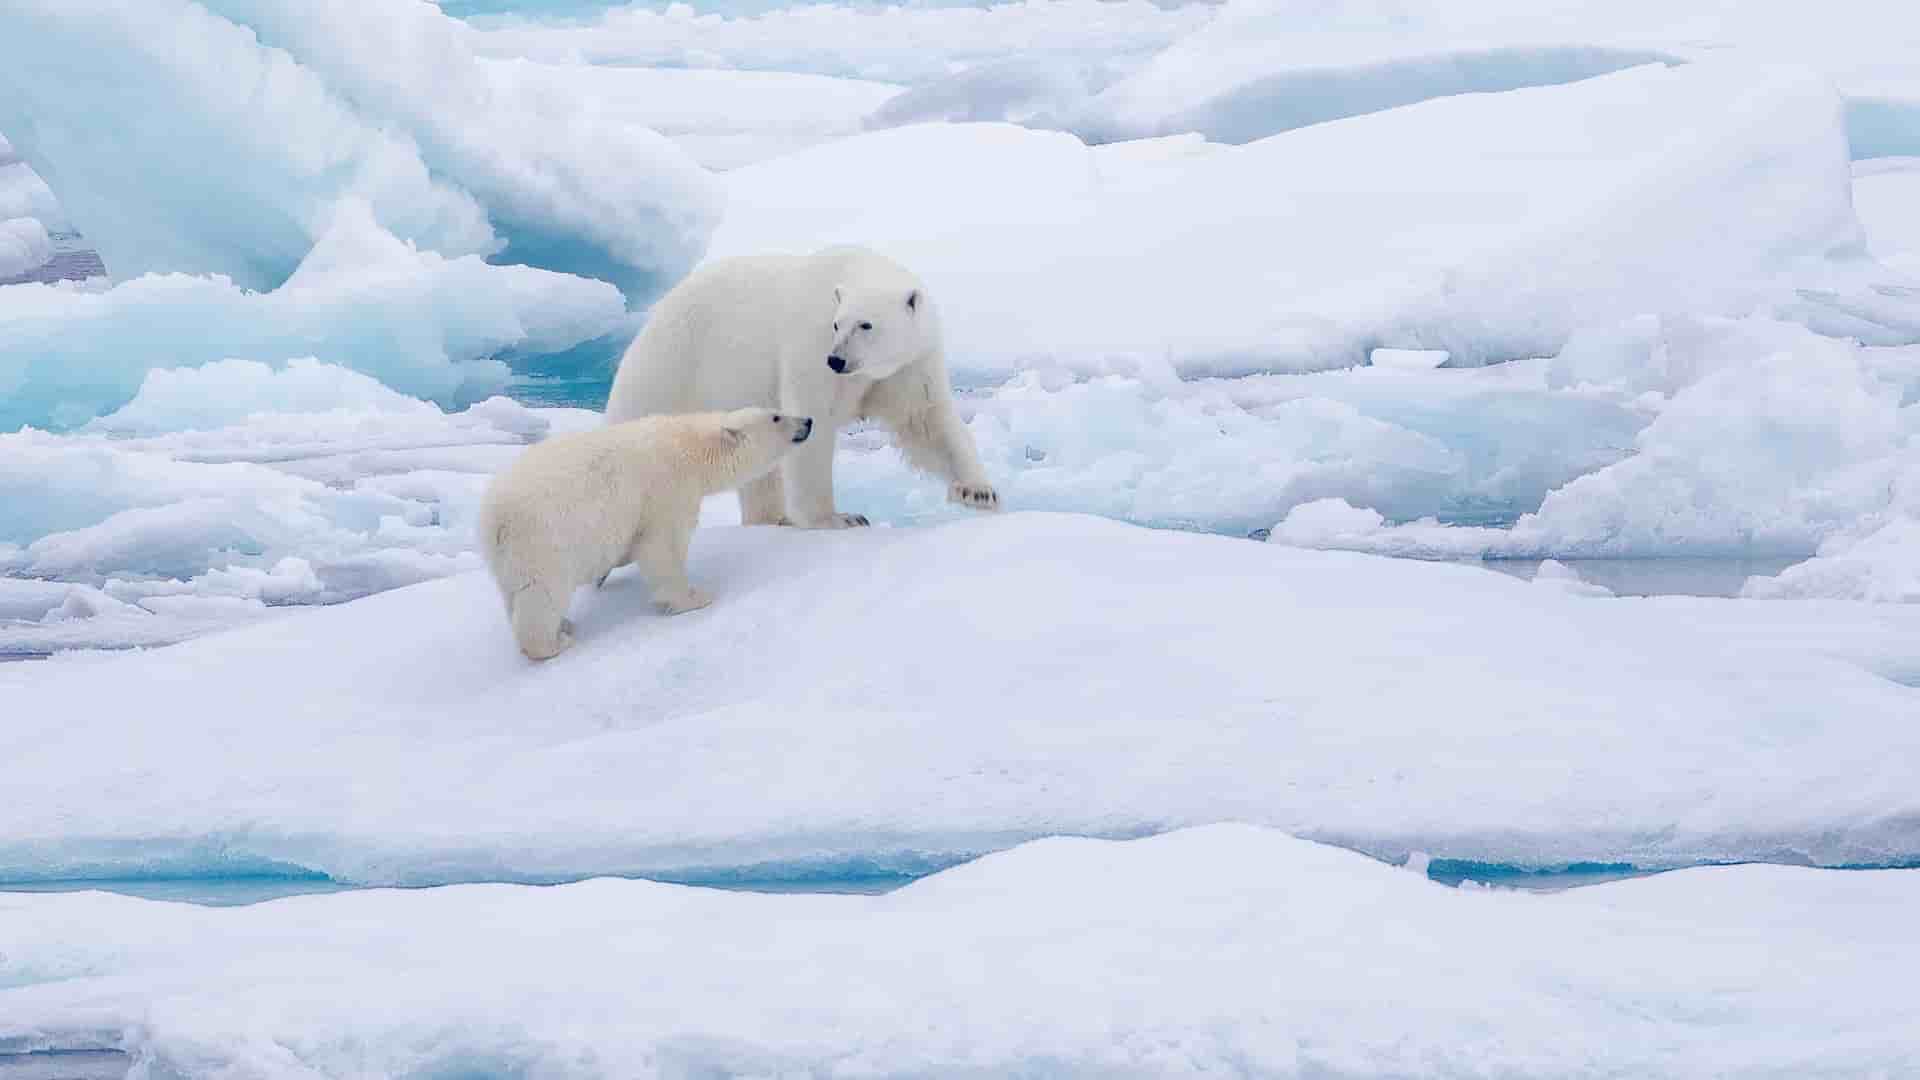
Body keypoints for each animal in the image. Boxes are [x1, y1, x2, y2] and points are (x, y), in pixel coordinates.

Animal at [477, 407, 814, 660]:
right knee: (541, 591)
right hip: (543, 538)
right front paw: (694, 597)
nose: (808, 421)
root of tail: (493, 517)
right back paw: (553, 643)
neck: (691, 446)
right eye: (775, 416)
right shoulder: (667, 488)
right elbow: (662, 547)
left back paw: (564, 624)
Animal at [603, 246, 998, 529]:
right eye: (838, 324)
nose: (836, 360)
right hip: (672, 365)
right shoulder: (810, 345)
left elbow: (925, 420)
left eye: (866, 325)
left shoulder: (908, 364)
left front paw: (978, 492)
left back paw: (774, 519)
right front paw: (839, 518)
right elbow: (814, 420)